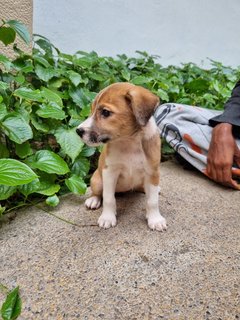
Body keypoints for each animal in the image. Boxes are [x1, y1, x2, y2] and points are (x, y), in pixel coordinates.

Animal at [77, 82, 167, 231]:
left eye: (105, 112)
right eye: (91, 110)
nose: (78, 131)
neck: (129, 142)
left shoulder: (152, 172)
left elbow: (152, 201)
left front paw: (155, 219)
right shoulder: (109, 173)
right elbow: (108, 198)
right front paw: (107, 218)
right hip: (97, 180)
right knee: (98, 192)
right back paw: (93, 200)